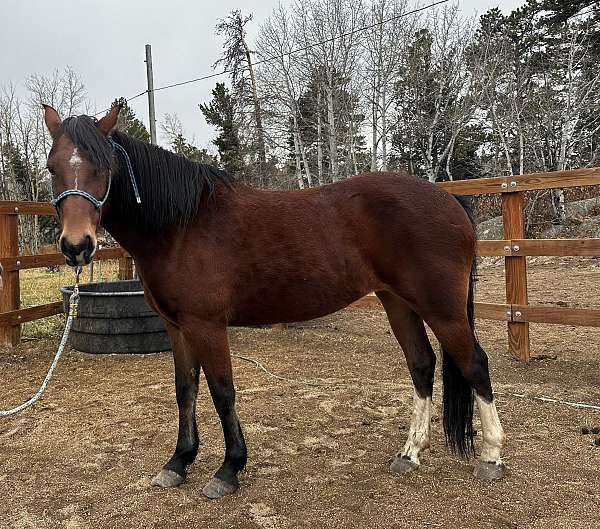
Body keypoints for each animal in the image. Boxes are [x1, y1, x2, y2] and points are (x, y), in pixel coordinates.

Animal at [41, 104, 506, 500]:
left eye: (103, 167)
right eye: (51, 167)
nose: (77, 246)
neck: (182, 225)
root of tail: (450, 200)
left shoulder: (207, 325)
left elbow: (222, 391)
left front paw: (228, 470)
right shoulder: (177, 327)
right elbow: (185, 390)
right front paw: (178, 463)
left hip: (442, 309)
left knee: (474, 363)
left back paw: (491, 457)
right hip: (398, 302)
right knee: (422, 364)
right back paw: (409, 453)